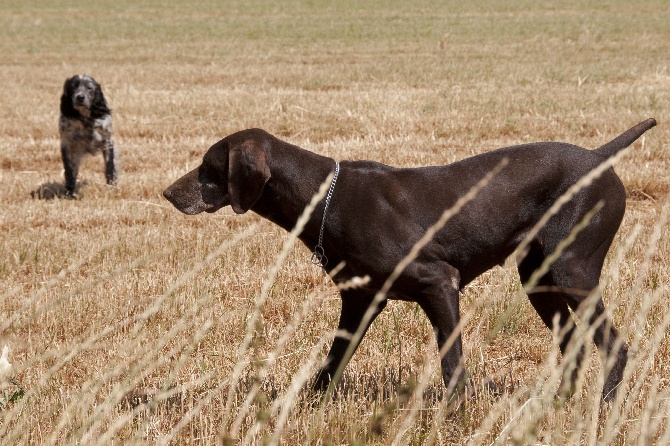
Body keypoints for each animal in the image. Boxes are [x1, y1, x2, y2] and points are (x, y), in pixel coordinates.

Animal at [165, 117, 660, 400]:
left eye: (209, 169)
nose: (168, 193)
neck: (326, 197)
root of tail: (598, 157)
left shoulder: (440, 283)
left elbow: (452, 365)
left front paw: (455, 418)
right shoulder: (360, 301)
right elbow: (333, 360)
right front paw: (308, 406)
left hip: (571, 269)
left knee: (613, 346)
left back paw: (603, 409)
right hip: (539, 276)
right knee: (575, 345)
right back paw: (561, 404)